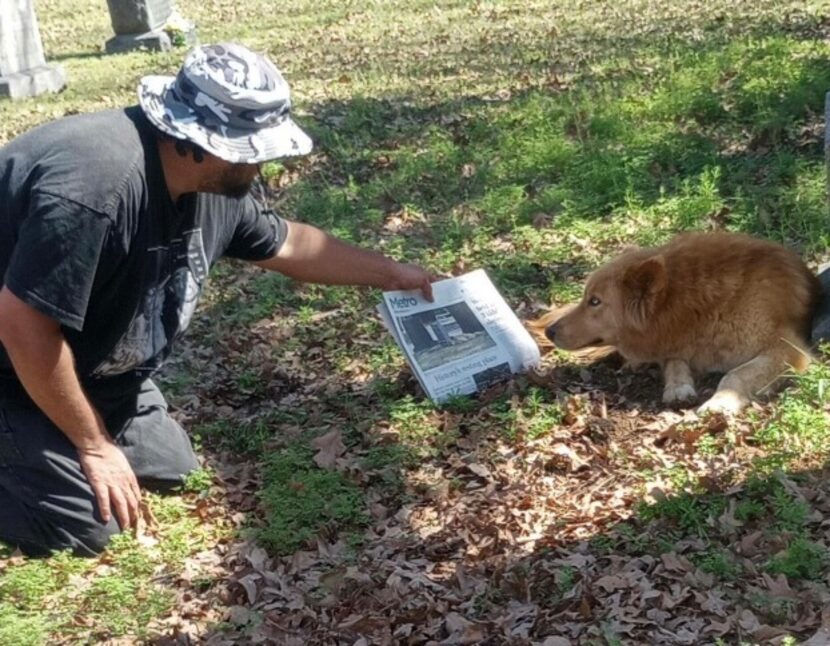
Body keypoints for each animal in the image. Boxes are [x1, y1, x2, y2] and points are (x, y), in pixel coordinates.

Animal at [532, 233, 824, 416]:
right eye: (586, 298)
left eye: (595, 301)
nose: (550, 330)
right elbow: (674, 362)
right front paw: (678, 387)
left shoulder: (785, 348)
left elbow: (736, 374)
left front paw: (720, 402)